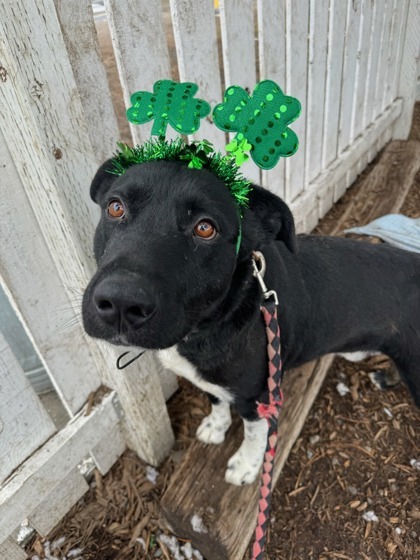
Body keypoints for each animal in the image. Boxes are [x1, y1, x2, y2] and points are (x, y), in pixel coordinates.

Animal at [82, 159, 420, 486]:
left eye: (205, 228)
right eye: (115, 207)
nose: (121, 303)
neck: (207, 324)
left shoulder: (258, 396)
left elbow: (255, 434)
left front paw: (246, 466)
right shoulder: (210, 379)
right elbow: (216, 401)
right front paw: (216, 427)